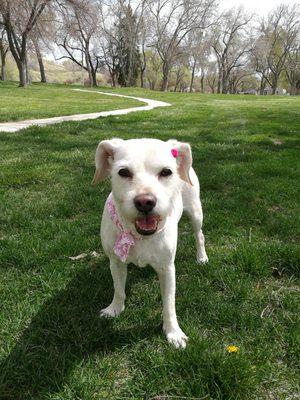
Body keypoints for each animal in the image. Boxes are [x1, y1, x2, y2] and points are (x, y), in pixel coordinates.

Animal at [92, 138, 207, 346]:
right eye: (123, 172)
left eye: (166, 172)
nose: (145, 202)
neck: (139, 235)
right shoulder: (116, 262)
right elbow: (118, 289)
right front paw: (114, 309)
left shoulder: (167, 269)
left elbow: (169, 303)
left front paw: (173, 332)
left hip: (195, 212)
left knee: (199, 235)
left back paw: (201, 257)